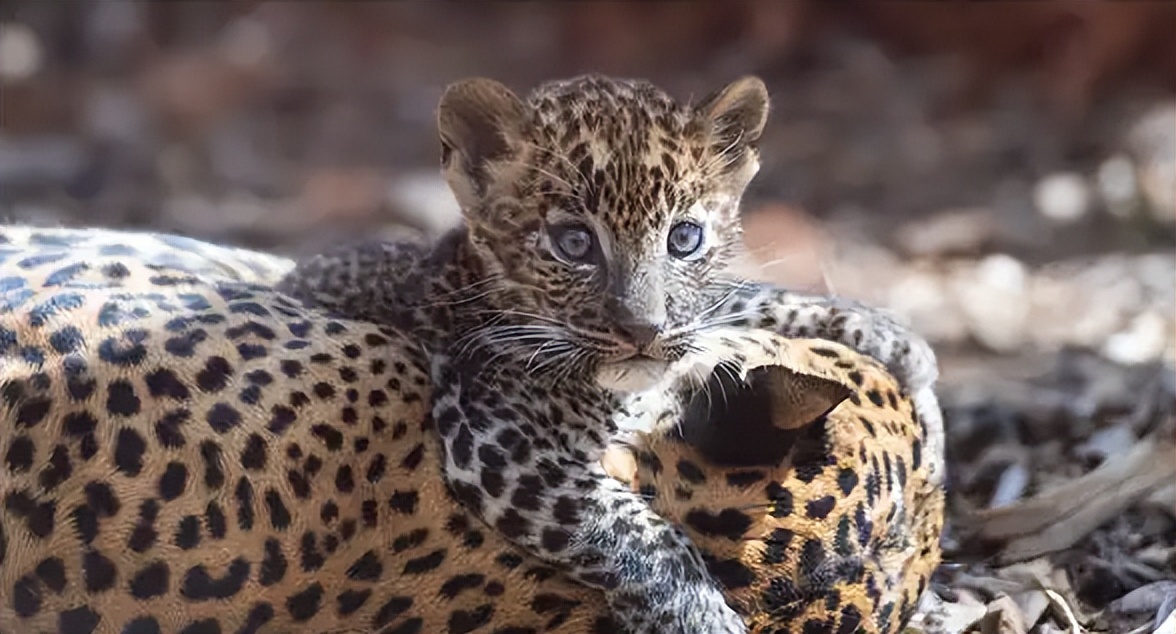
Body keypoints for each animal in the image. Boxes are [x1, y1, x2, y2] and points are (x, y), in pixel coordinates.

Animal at [1, 72, 945, 632]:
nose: (640, 331)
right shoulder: (500, 443)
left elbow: (725, 306)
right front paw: (701, 617)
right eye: (573, 243)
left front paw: (892, 338)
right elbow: (640, 530)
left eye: (684, 238)